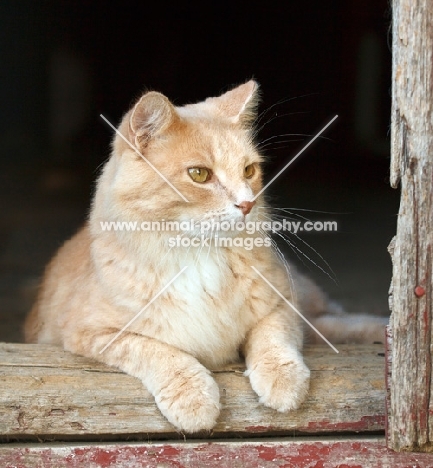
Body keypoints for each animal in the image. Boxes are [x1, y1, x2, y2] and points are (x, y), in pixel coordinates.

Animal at [25, 81, 386, 436]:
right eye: (199, 174)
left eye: (249, 170)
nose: (247, 204)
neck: (199, 255)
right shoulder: (93, 334)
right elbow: (157, 352)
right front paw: (192, 398)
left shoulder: (282, 302)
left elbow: (273, 336)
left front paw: (282, 379)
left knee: (334, 320)